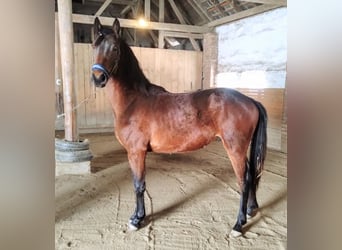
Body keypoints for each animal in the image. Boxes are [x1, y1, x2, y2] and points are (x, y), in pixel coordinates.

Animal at [90, 17, 268, 236]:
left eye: (114, 48)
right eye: (94, 46)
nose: (98, 78)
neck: (134, 100)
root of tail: (250, 101)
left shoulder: (136, 152)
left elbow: (138, 185)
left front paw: (137, 220)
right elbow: (139, 184)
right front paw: (138, 217)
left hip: (235, 148)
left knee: (243, 180)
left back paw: (238, 225)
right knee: (251, 175)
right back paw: (251, 210)